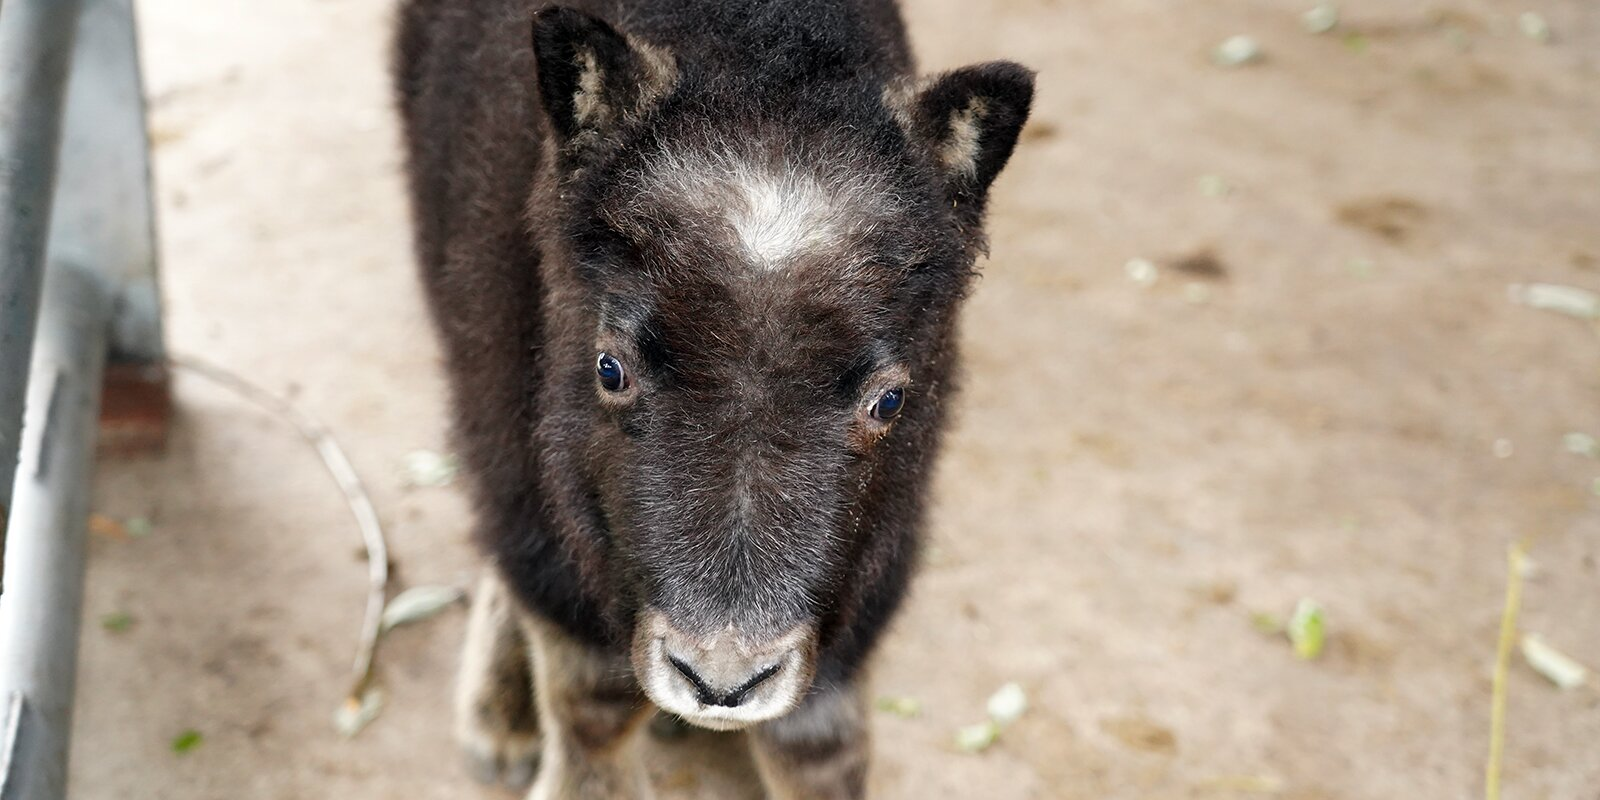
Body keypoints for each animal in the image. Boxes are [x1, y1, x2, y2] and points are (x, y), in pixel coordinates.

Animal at [393, 1, 1030, 793]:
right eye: (610, 368)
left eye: (888, 401)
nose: (723, 680)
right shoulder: (518, 465)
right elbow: (592, 699)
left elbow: (817, 743)